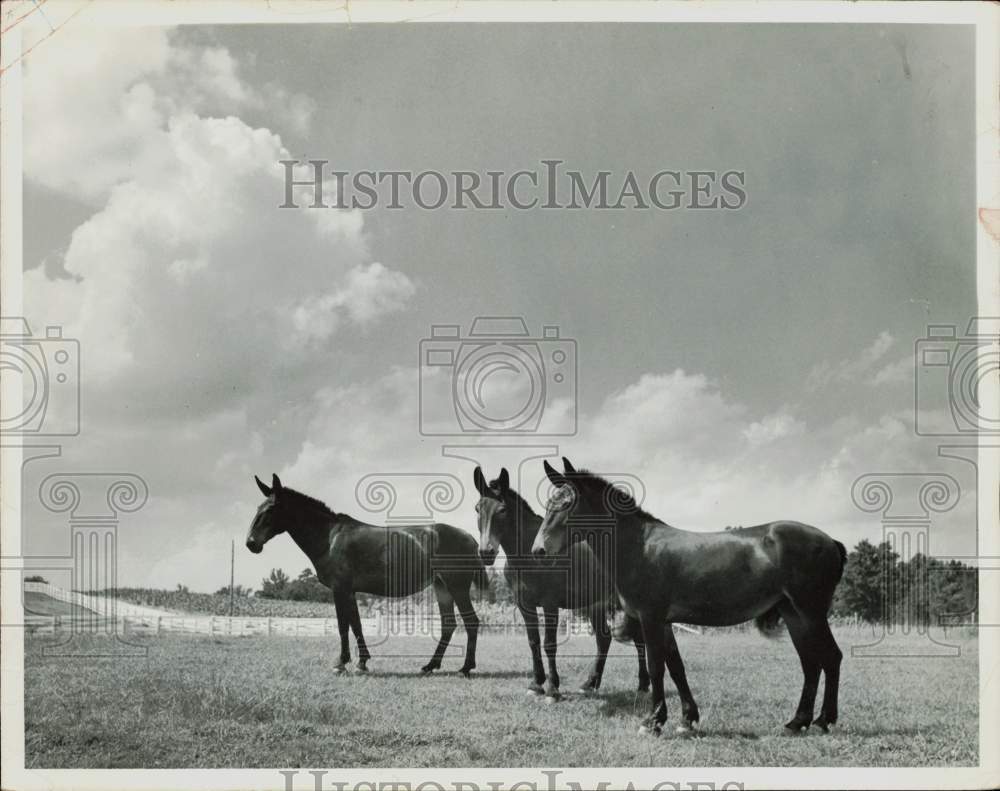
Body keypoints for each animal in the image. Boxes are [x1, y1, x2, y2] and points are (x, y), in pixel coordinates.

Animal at [248, 474, 486, 676]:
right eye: (258, 507)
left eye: (271, 509)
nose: (251, 543)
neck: (330, 538)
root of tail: (469, 538)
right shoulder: (349, 591)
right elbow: (355, 624)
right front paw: (361, 662)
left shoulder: (340, 589)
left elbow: (343, 626)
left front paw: (341, 664)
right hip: (442, 587)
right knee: (449, 625)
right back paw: (430, 665)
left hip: (457, 587)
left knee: (471, 622)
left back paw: (466, 667)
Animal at [474, 468, 652, 704]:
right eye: (477, 509)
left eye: (502, 510)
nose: (486, 553)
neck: (528, 555)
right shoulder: (525, 605)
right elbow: (533, 641)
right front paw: (536, 685)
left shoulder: (550, 604)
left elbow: (549, 643)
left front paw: (552, 690)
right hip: (595, 605)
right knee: (603, 640)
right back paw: (590, 684)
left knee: (639, 640)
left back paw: (642, 685)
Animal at [532, 458, 844, 736]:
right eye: (548, 504)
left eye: (567, 503)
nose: (539, 551)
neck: (639, 547)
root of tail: (831, 541)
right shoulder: (665, 622)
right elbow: (676, 667)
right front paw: (686, 719)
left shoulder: (651, 618)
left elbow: (656, 667)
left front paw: (652, 722)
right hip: (793, 614)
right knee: (811, 663)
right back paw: (798, 721)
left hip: (810, 613)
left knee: (831, 657)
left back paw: (823, 720)